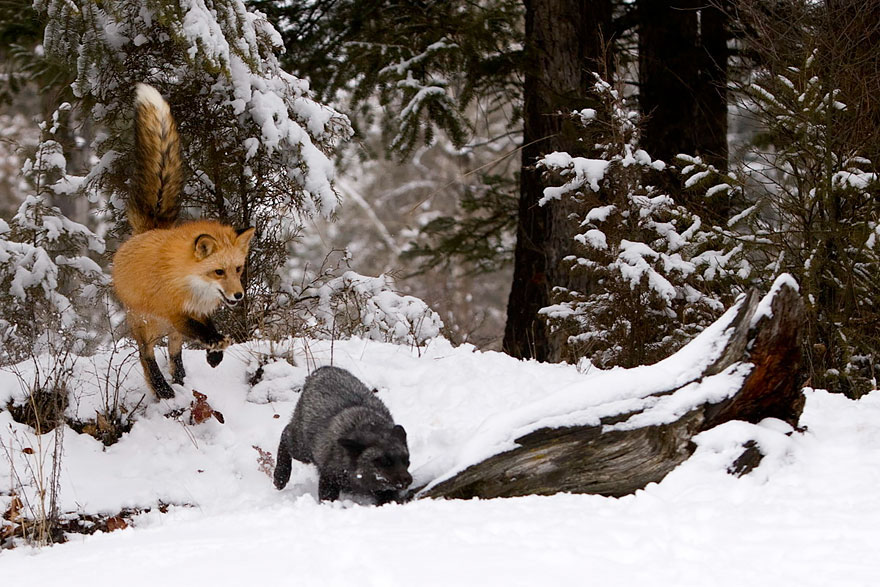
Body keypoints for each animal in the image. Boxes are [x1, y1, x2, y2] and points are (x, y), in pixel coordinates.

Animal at [112, 84, 255, 399]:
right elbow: (200, 332)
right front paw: (215, 343)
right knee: (146, 356)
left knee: (174, 354)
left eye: (238, 269)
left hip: (167, 332)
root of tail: (147, 230)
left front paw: (215, 355)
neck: (191, 283)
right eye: (218, 271)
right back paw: (163, 389)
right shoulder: (174, 312)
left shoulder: (199, 311)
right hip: (146, 324)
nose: (239, 296)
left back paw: (179, 380)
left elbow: (206, 331)